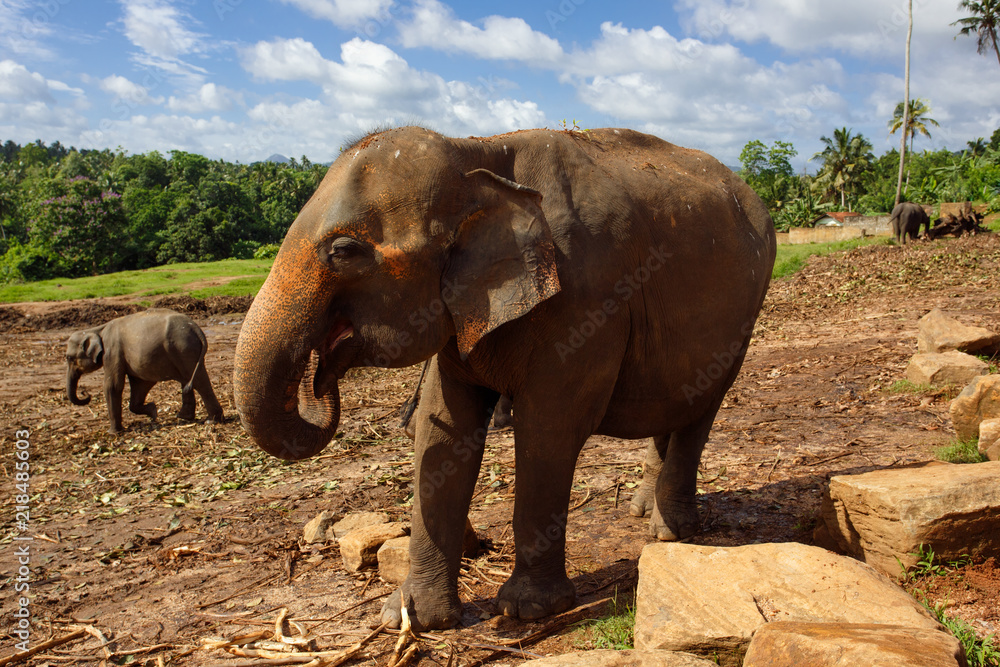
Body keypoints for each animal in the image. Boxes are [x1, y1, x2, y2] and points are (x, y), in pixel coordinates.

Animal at [66, 308, 224, 433]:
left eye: (68, 358)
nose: (85, 393)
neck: (96, 330)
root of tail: (196, 328)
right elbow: (140, 385)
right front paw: (153, 412)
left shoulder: (112, 353)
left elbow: (113, 386)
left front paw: (113, 433)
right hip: (184, 350)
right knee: (188, 379)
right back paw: (185, 417)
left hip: (183, 348)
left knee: (198, 381)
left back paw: (211, 421)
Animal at [233, 126, 776, 631]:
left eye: (345, 250)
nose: (321, 379)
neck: (477, 152)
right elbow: (442, 431)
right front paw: (412, 618)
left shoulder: (588, 299)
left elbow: (549, 428)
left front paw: (527, 610)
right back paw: (642, 511)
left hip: (745, 316)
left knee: (703, 405)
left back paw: (670, 532)